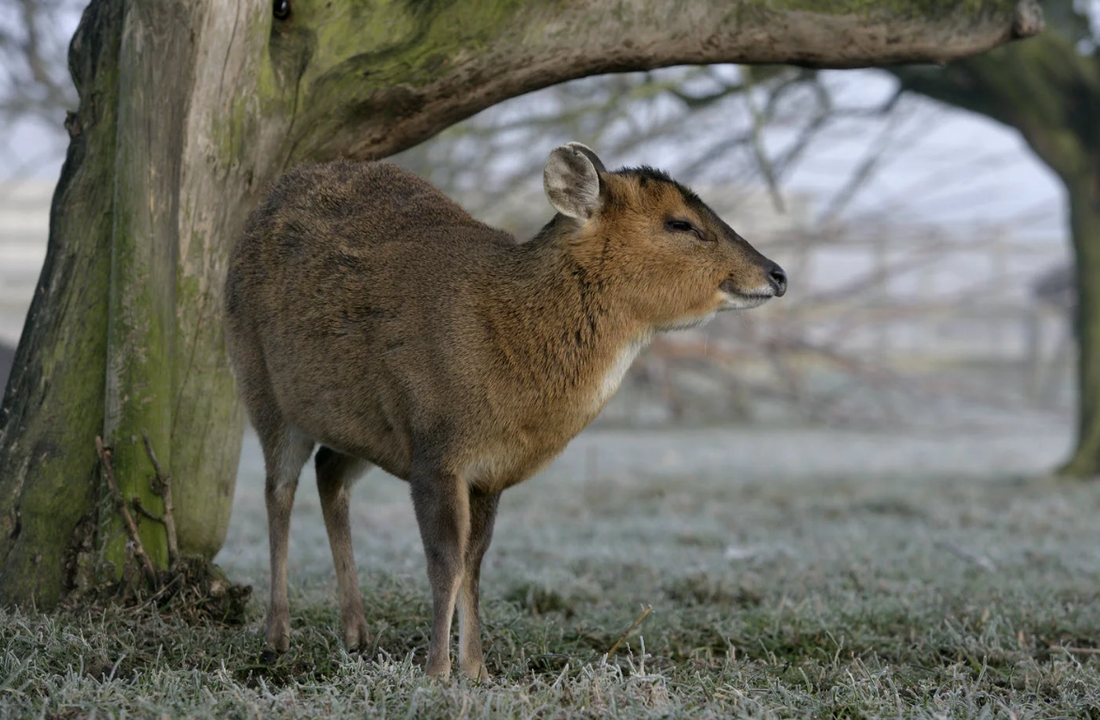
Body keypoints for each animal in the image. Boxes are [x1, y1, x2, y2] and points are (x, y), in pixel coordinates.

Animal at [227, 141, 787, 681]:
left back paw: (356, 632)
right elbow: (445, 561)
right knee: (278, 490)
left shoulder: (488, 472)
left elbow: (474, 563)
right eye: (680, 222)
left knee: (329, 471)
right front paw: (437, 672)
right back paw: (277, 635)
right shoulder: (436, 450)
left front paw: (477, 671)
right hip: (261, 384)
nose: (777, 274)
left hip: (363, 425)